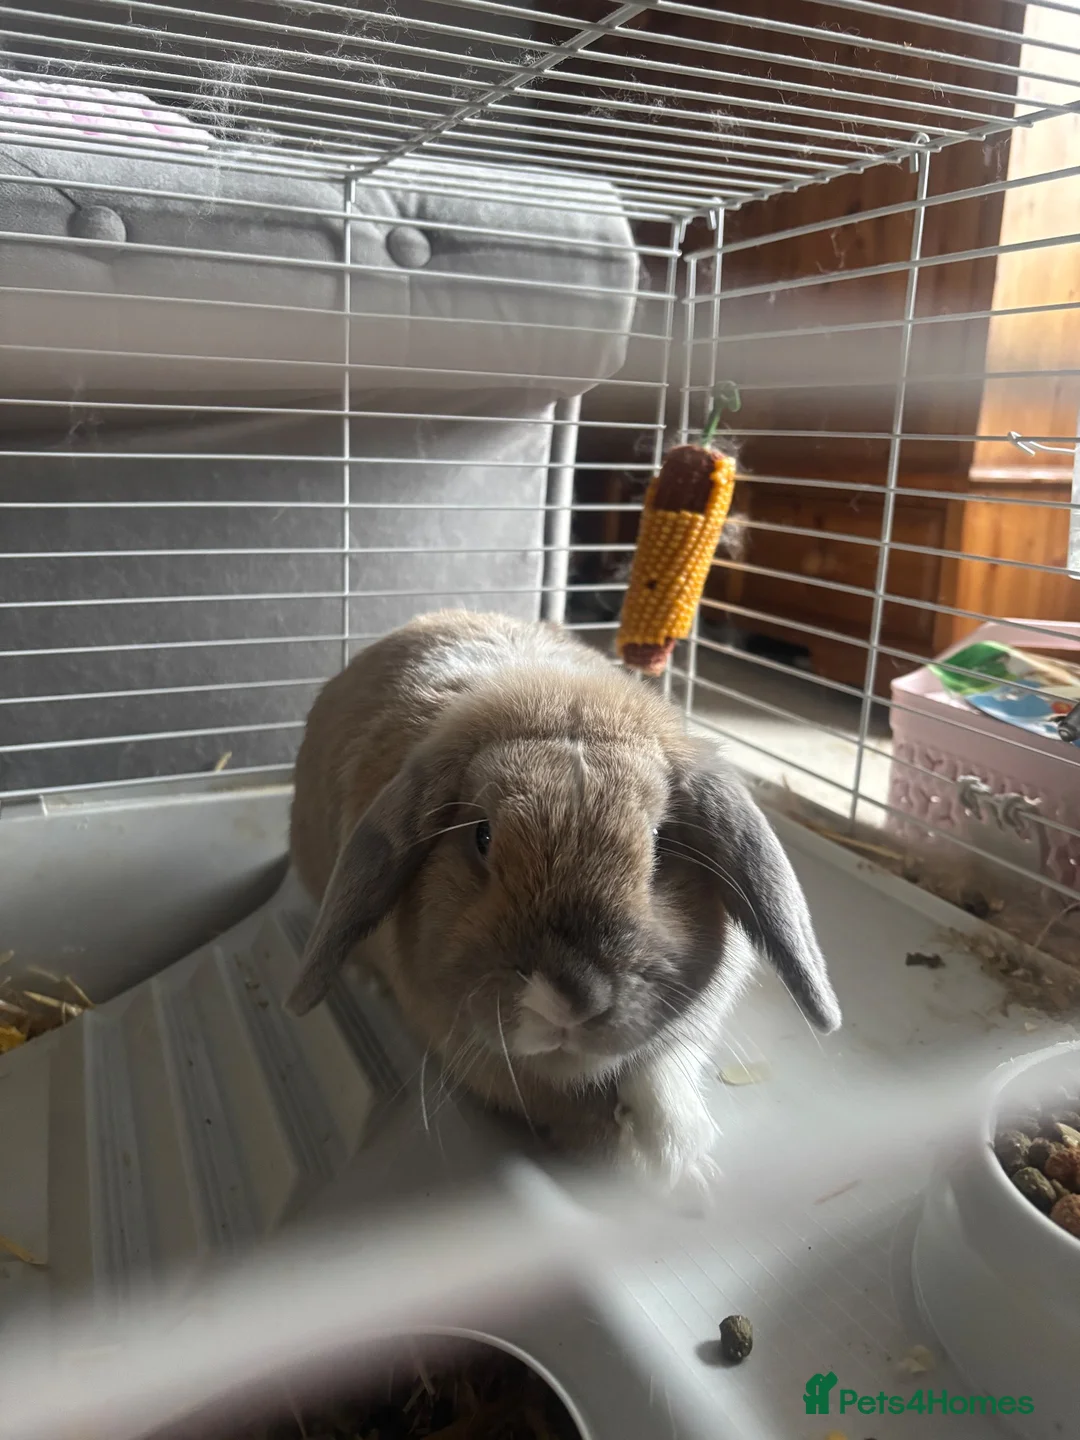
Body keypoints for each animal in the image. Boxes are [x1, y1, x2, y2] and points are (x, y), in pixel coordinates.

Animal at [286, 610, 840, 1189]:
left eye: (661, 844)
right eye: (482, 836)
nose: (569, 997)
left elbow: (659, 1078)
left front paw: (680, 1159)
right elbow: (570, 1113)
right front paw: (639, 1163)